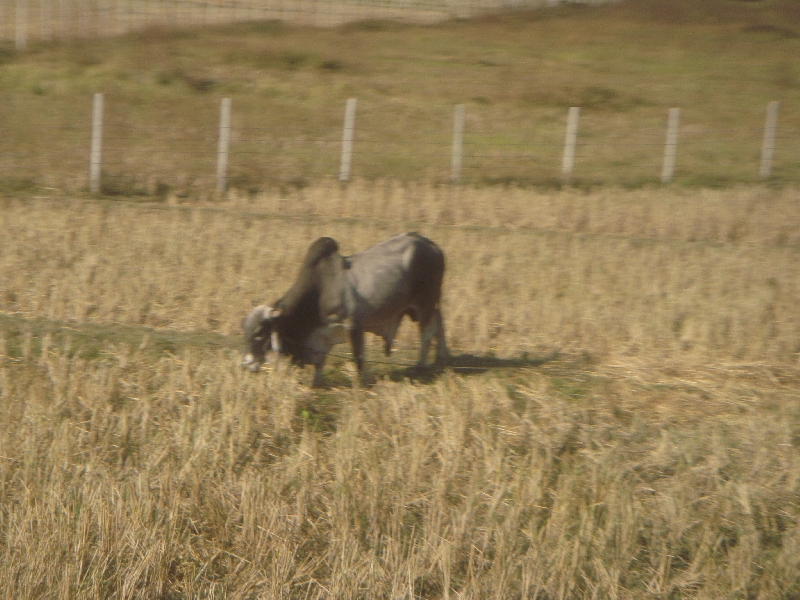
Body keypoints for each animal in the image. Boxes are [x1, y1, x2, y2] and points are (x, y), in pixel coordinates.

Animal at [241, 232, 446, 386]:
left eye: (259, 333)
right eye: (245, 332)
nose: (246, 364)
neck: (320, 290)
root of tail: (432, 246)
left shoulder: (353, 325)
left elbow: (358, 356)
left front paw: (362, 383)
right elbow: (320, 362)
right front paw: (317, 383)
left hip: (425, 303)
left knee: (427, 333)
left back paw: (420, 366)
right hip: (424, 306)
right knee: (439, 324)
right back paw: (441, 359)